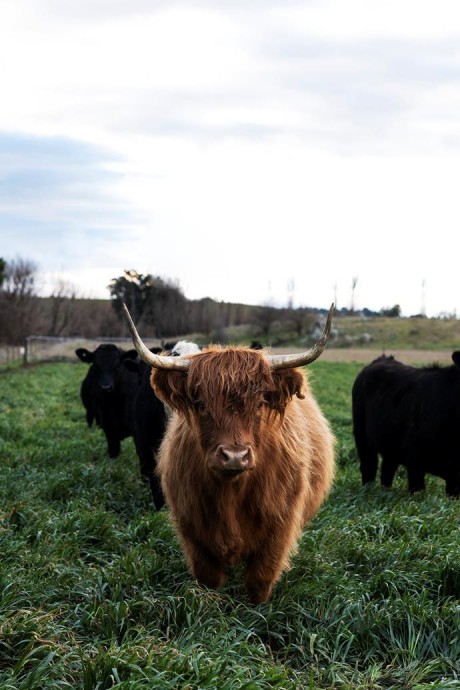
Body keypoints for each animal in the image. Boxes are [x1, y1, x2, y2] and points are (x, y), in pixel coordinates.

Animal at [124, 304, 336, 600]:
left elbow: (259, 582)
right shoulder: (192, 530)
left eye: (260, 403)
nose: (235, 456)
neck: (232, 492)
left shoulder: (279, 529)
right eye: (200, 404)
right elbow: (209, 579)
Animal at [352, 354, 460, 494]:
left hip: (390, 444)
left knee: (387, 469)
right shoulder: (415, 460)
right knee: (369, 467)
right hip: (362, 436)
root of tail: (383, 358)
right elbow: (417, 490)